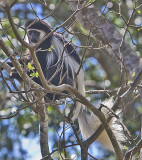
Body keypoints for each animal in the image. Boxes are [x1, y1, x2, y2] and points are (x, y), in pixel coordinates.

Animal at [9, 19, 125, 151]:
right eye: (30, 32)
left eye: (36, 32)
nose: (32, 37)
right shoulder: (33, 48)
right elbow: (28, 60)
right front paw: (12, 64)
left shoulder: (46, 46)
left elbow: (40, 67)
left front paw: (17, 73)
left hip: (68, 81)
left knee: (56, 67)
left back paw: (50, 94)